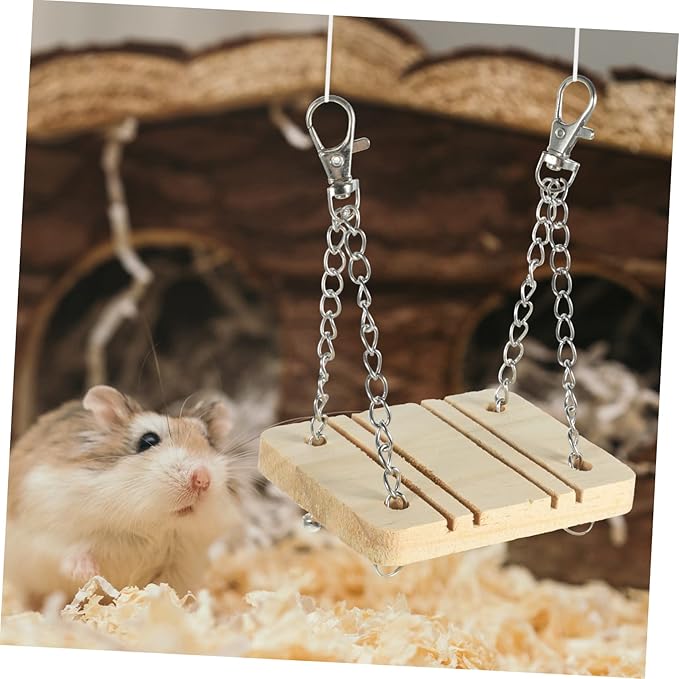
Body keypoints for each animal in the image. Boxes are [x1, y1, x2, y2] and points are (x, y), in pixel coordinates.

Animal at [4, 385, 249, 609]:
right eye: (148, 441)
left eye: (209, 442)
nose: (202, 479)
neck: (150, 525)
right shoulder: (47, 530)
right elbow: (68, 552)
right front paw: (89, 573)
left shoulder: (181, 564)